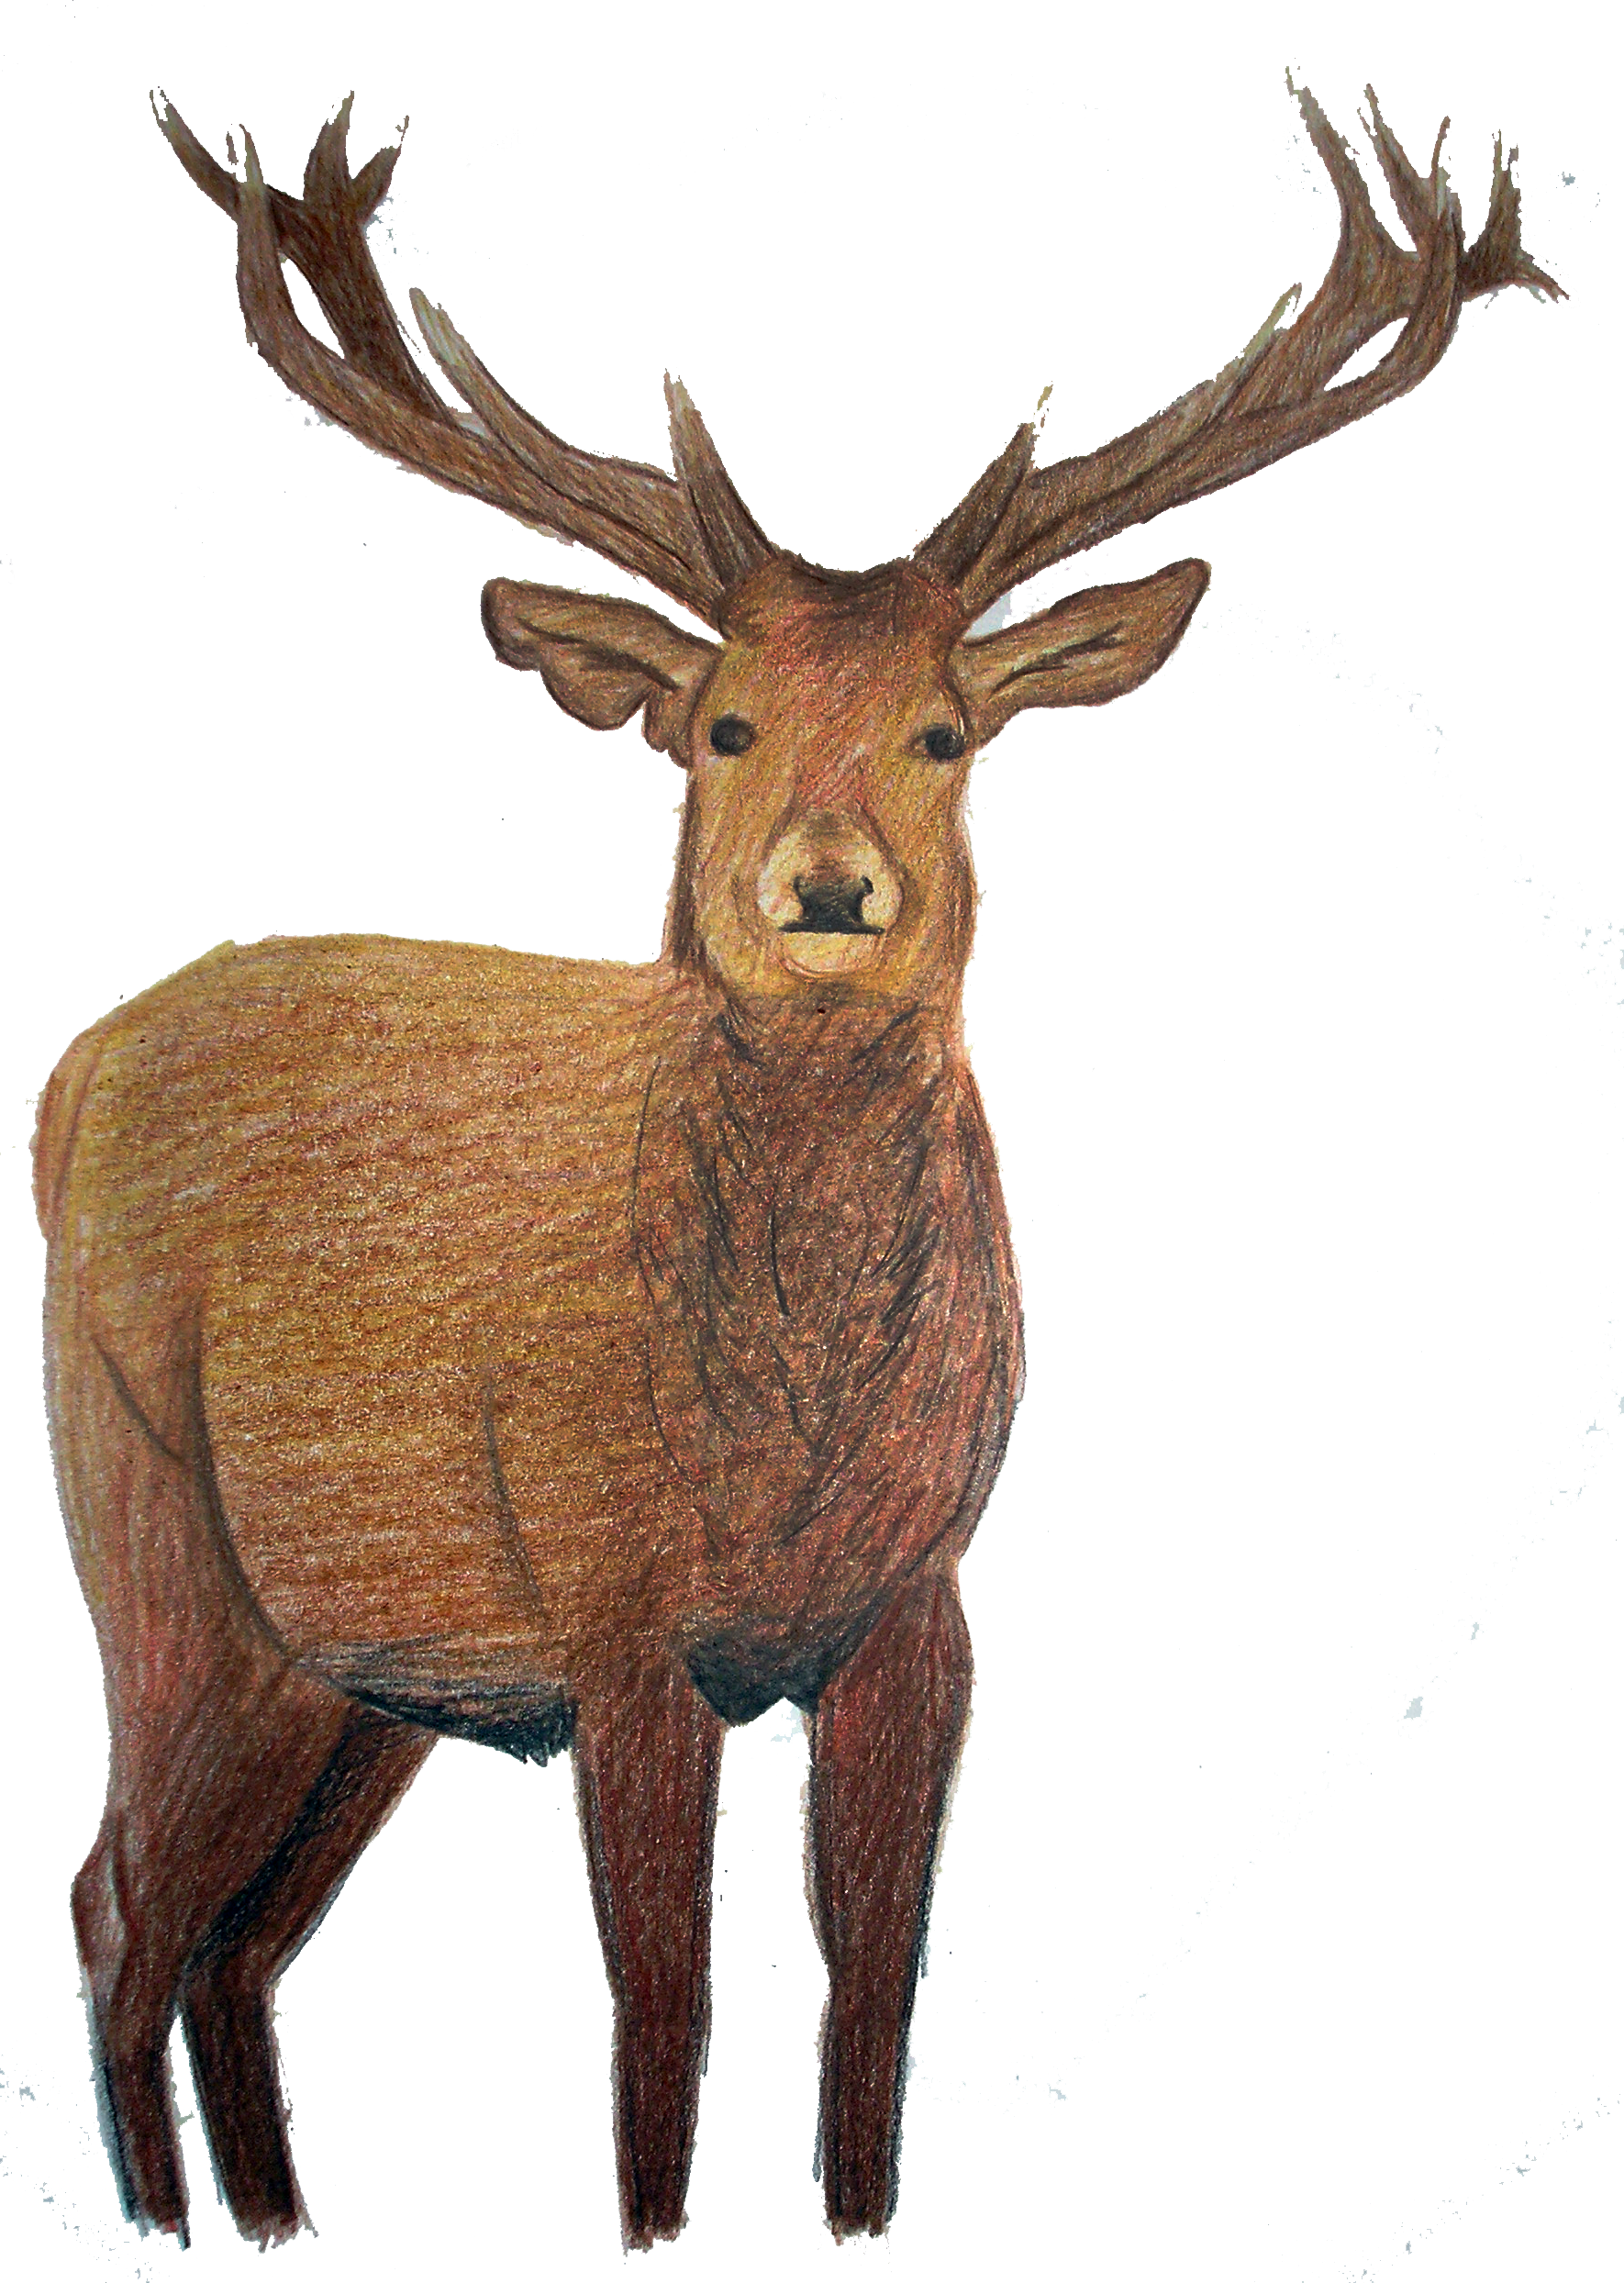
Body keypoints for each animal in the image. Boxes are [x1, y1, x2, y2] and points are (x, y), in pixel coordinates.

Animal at [33, 80, 1559, 2254]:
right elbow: (660, 1999)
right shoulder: (610, 1605)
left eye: (946, 729)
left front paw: (855, 2203)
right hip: (157, 1533)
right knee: (119, 1901)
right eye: (723, 725)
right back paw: (176, 2213)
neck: (778, 1445)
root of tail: (71, 1076)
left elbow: (874, 1986)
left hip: (364, 1670)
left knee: (237, 1941)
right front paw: (655, 2216)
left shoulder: (921, 1601)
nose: (826, 890)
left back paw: (273, 2218)